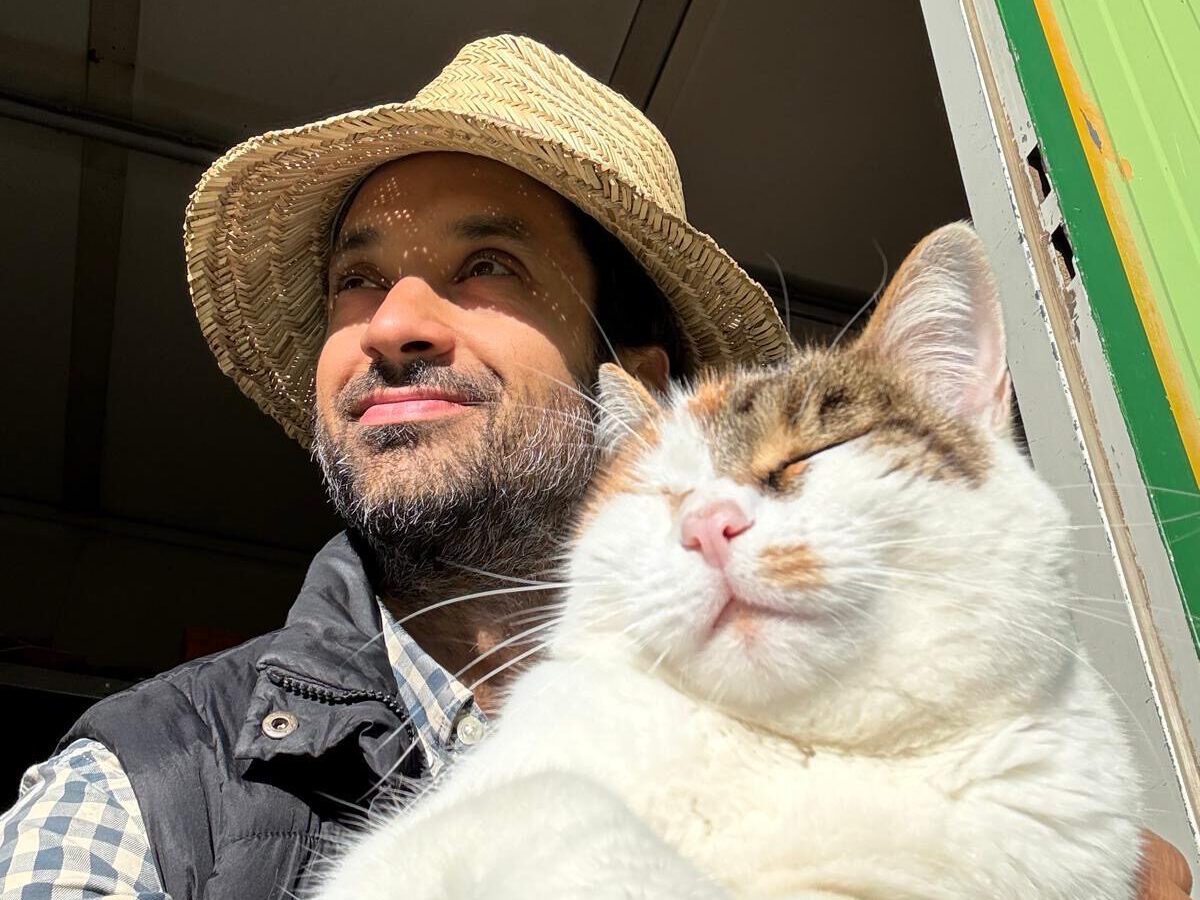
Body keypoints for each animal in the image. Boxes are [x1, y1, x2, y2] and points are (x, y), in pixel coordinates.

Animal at [314, 223, 1143, 900]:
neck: (802, 748)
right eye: (661, 494)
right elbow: (565, 805)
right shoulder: (408, 848)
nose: (710, 527)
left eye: (811, 452)